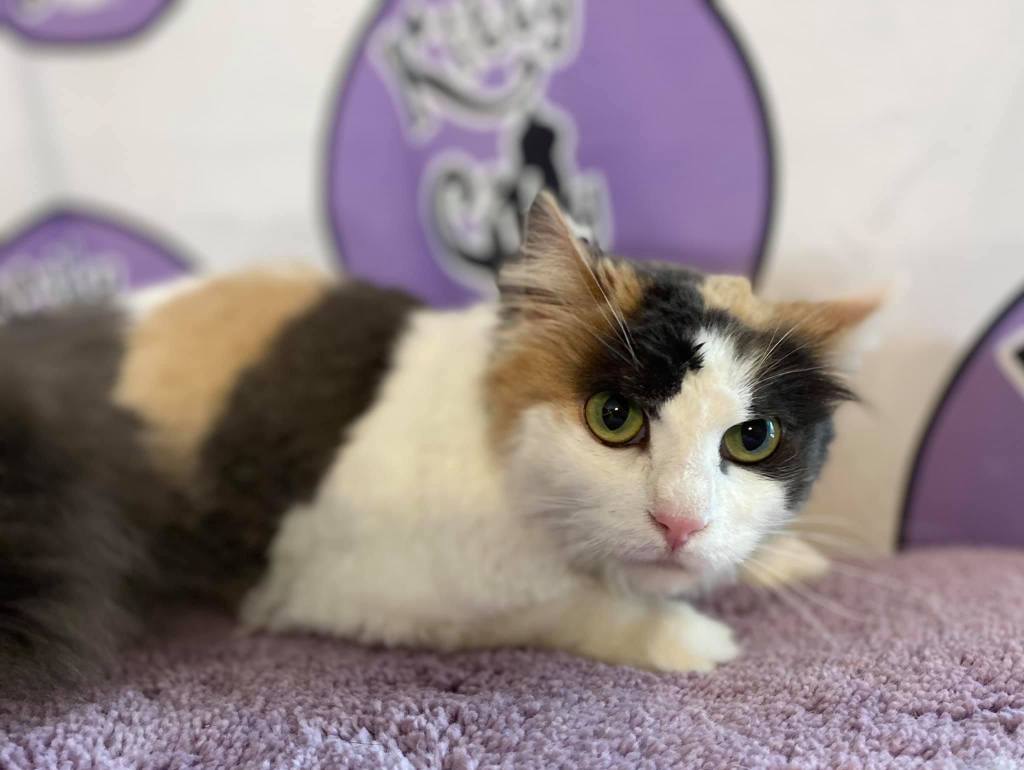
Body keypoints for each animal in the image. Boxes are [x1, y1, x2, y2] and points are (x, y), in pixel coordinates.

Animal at [0, 192, 876, 692]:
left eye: (753, 438)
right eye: (613, 418)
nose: (681, 523)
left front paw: (780, 560)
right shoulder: (343, 587)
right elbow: (559, 606)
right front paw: (683, 636)